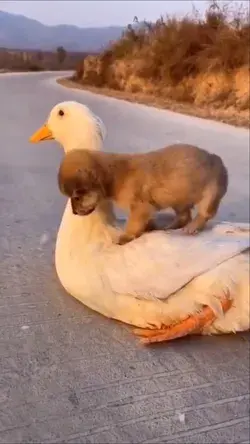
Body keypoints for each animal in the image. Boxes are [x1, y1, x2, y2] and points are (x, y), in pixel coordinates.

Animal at [57, 144, 229, 245]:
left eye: (76, 197)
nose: (74, 212)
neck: (116, 175)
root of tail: (218, 160)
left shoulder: (140, 207)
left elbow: (133, 225)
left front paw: (126, 237)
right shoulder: (146, 209)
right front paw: (149, 228)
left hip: (210, 194)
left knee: (204, 214)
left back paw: (192, 227)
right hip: (179, 200)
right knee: (184, 216)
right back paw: (168, 227)